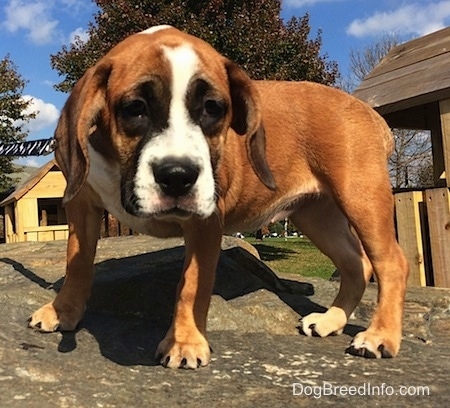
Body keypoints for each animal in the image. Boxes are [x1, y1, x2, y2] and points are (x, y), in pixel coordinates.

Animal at [28, 26, 408, 370]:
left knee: (391, 263)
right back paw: (331, 320)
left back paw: (379, 336)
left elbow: (191, 284)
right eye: (135, 108)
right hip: (315, 216)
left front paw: (184, 342)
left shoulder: (205, 223)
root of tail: (368, 112)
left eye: (212, 108)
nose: (177, 176)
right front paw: (63, 311)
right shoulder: (80, 206)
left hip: (361, 197)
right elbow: (77, 262)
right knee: (356, 264)